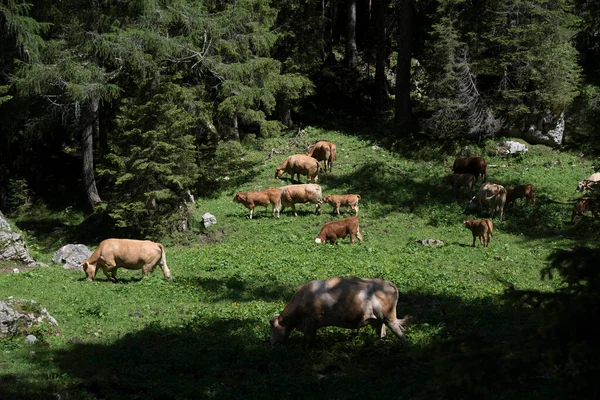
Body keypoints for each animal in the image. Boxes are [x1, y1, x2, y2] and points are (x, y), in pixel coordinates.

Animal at [268, 276, 412, 346]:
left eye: (273, 327)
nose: (271, 343)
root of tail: (388, 283)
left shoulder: (310, 323)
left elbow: (308, 341)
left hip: (389, 317)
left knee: (401, 332)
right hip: (377, 319)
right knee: (382, 333)